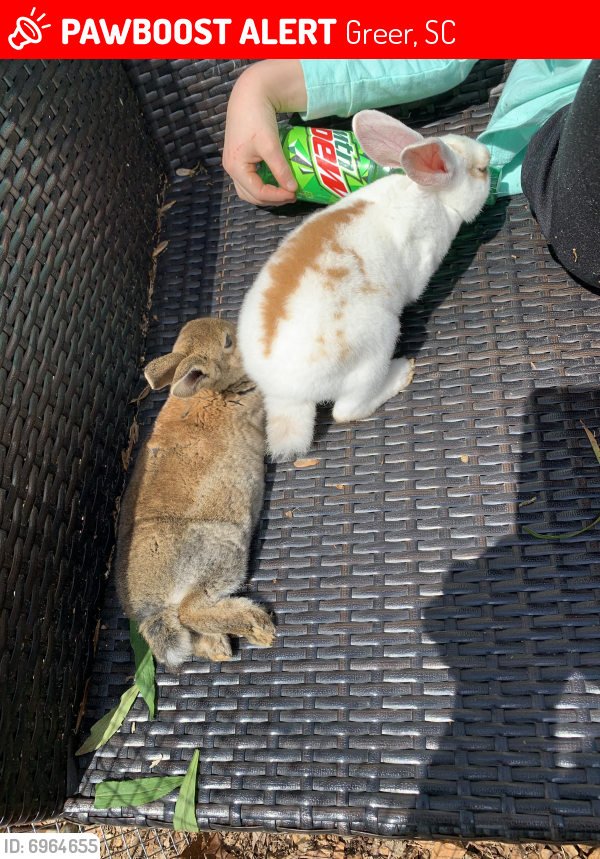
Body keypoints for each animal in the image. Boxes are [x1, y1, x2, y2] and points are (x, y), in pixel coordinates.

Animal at [115, 317, 275, 670]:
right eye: (227, 341)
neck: (213, 390)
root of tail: (150, 607)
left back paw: (219, 648)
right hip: (221, 548)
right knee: (191, 610)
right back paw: (258, 626)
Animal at [238, 110, 491, 461]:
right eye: (480, 171)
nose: (490, 156)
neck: (429, 193)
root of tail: (285, 395)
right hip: (376, 345)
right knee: (346, 411)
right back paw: (401, 373)